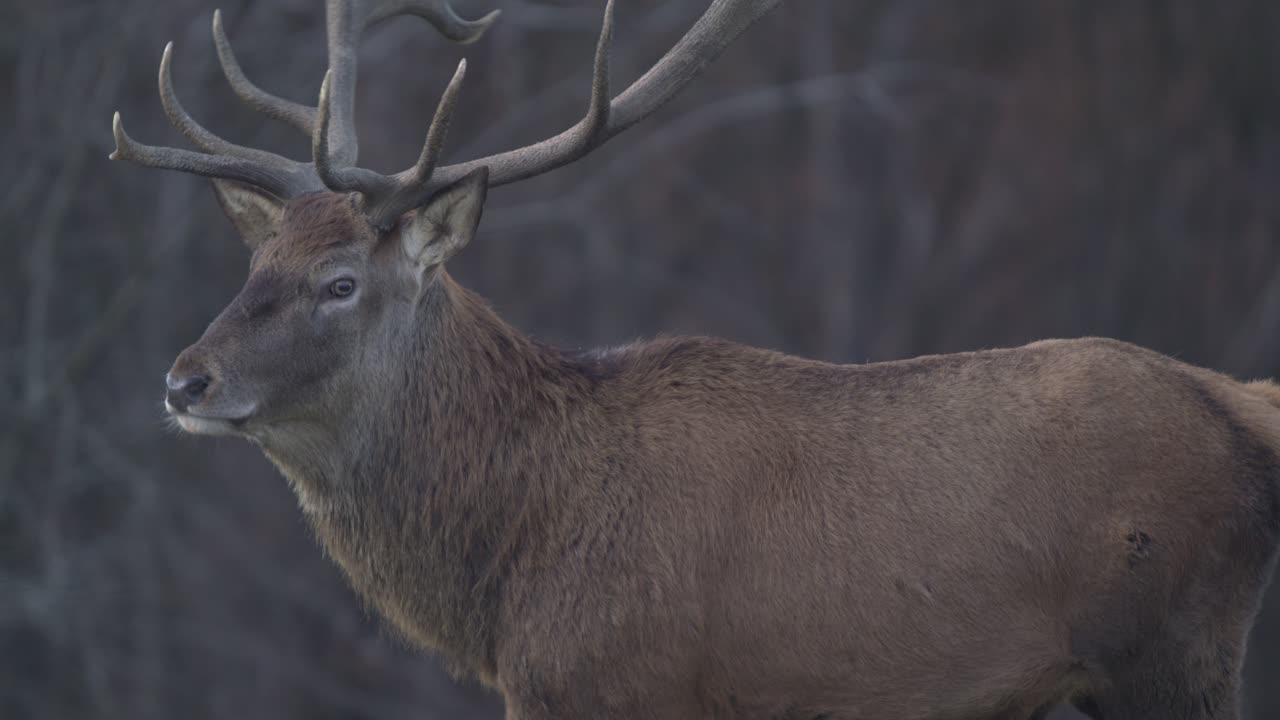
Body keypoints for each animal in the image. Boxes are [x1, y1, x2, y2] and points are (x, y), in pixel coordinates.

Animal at [110, 1, 1280, 718]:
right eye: (256, 260)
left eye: (341, 281)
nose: (184, 380)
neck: (512, 579)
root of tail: (1246, 408)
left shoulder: (630, 687)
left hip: (1172, 647)